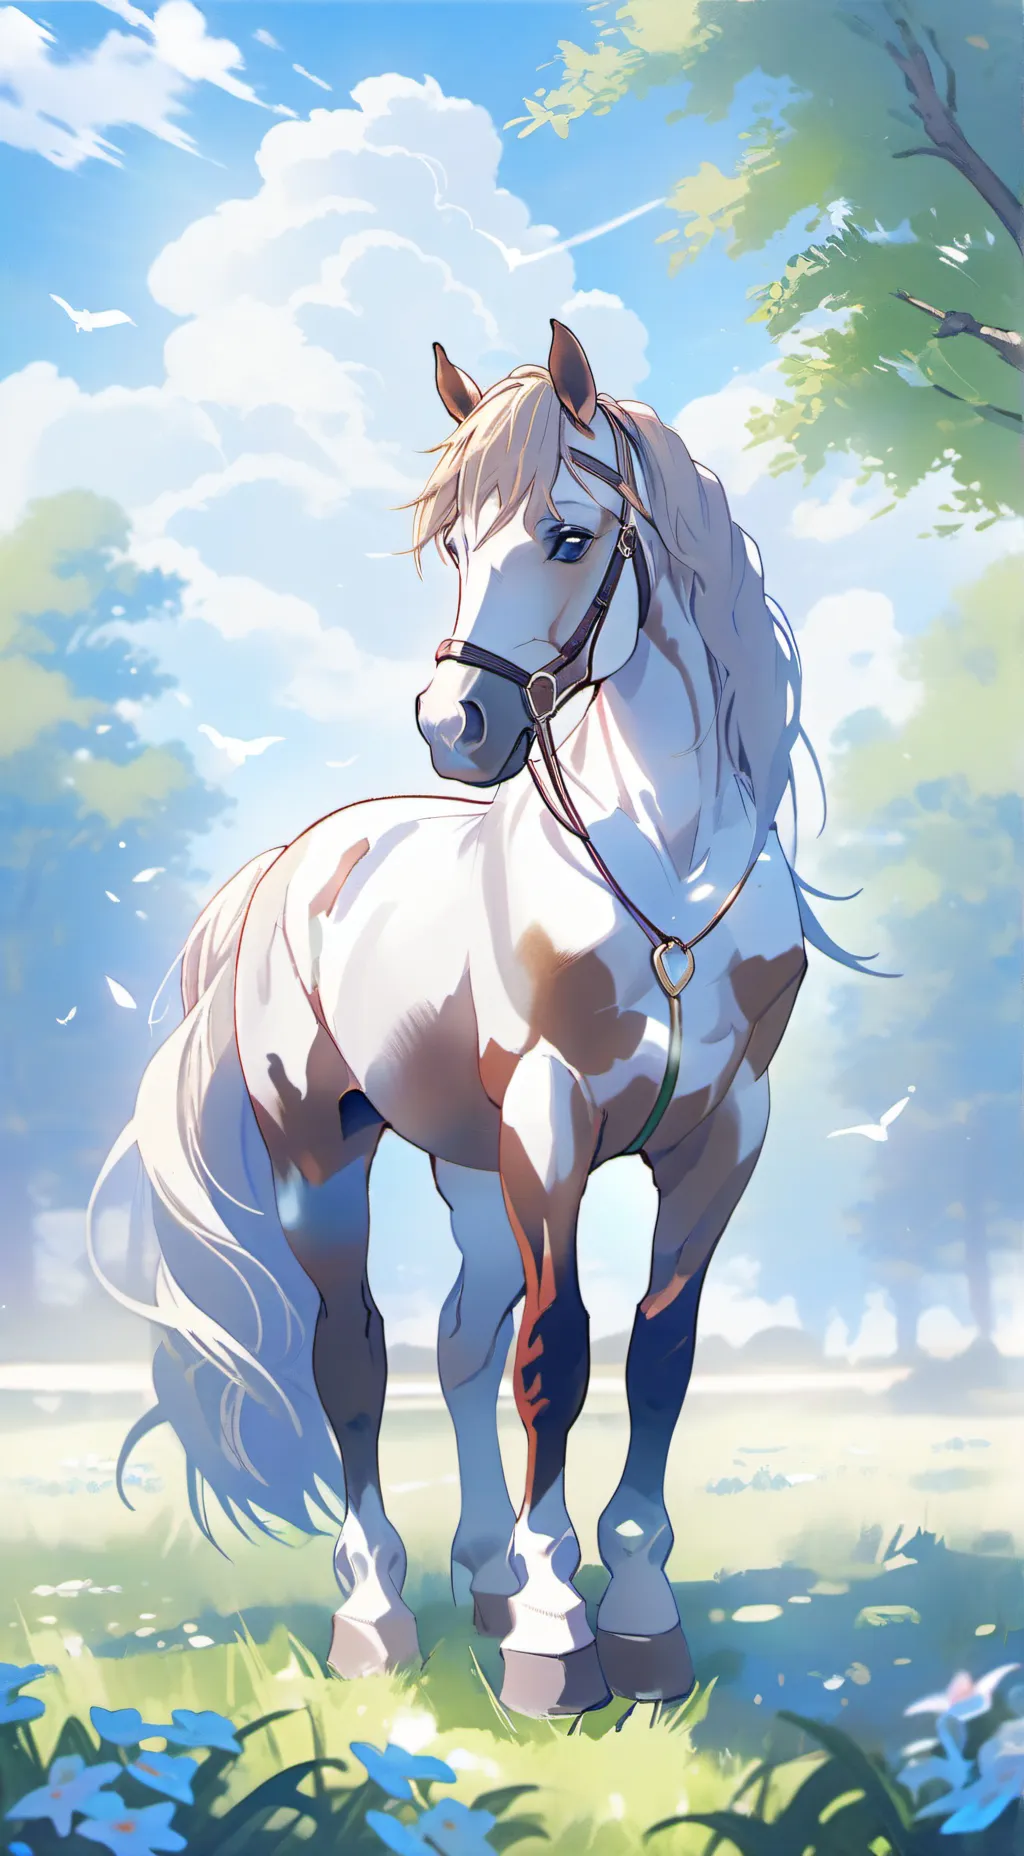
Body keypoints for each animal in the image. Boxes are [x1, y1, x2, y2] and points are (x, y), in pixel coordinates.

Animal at [90, 320, 872, 1719]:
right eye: (452, 544)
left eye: (568, 535)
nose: (456, 725)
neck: (663, 874)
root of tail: (297, 859)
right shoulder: (550, 1124)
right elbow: (554, 1357)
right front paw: (557, 1642)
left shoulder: (721, 1136)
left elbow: (658, 1353)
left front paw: (638, 1618)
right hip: (324, 1147)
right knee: (352, 1353)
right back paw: (382, 1610)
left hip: (464, 1159)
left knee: (459, 1339)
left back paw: (486, 1573)